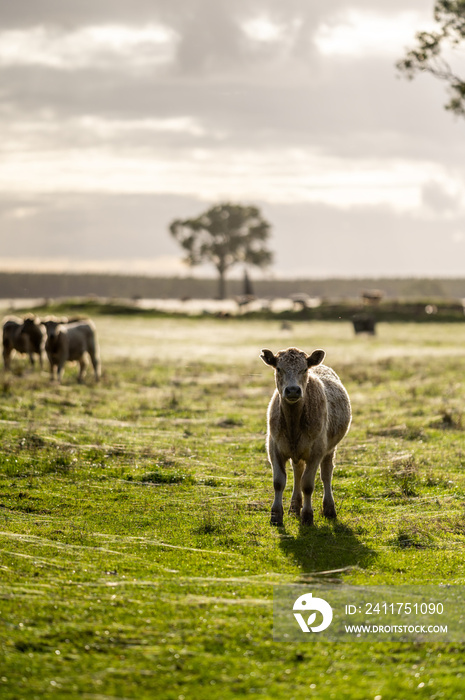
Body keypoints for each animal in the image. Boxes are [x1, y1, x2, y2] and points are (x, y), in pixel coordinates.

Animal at [260, 348, 350, 528]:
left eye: (304, 369)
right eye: (278, 369)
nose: (293, 390)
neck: (293, 424)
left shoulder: (316, 451)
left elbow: (307, 484)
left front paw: (307, 516)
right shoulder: (274, 448)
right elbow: (279, 482)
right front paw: (276, 516)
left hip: (330, 448)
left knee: (326, 474)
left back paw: (329, 509)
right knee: (297, 473)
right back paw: (295, 507)